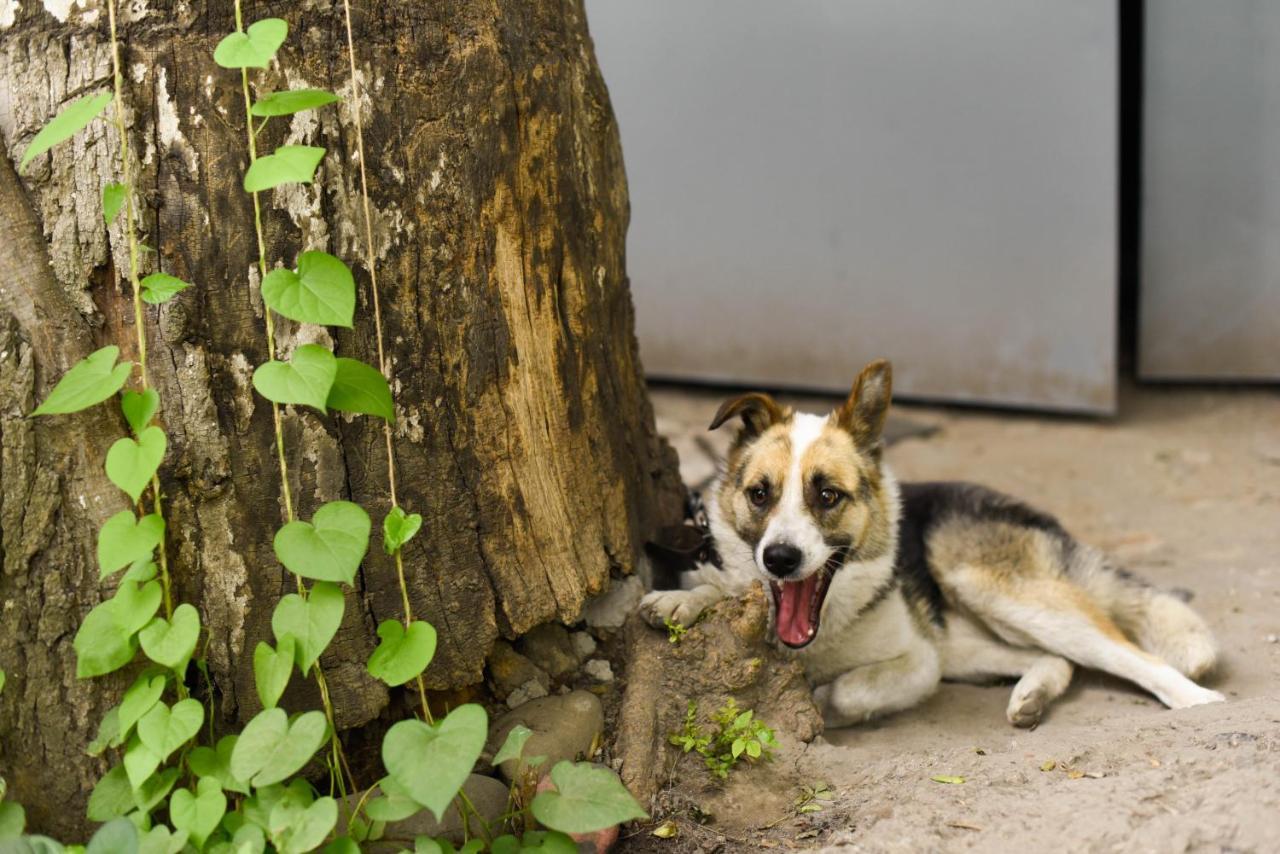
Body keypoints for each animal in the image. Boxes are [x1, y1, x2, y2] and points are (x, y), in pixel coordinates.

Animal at [634, 361, 1223, 727]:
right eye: (760, 494)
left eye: (827, 495)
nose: (780, 559)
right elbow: (718, 586)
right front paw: (681, 600)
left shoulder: (921, 661)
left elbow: (850, 688)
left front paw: (822, 703)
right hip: (967, 638)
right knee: (1053, 658)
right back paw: (1032, 695)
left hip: (996, 592)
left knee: (1126, 654)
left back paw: (1198, 700)